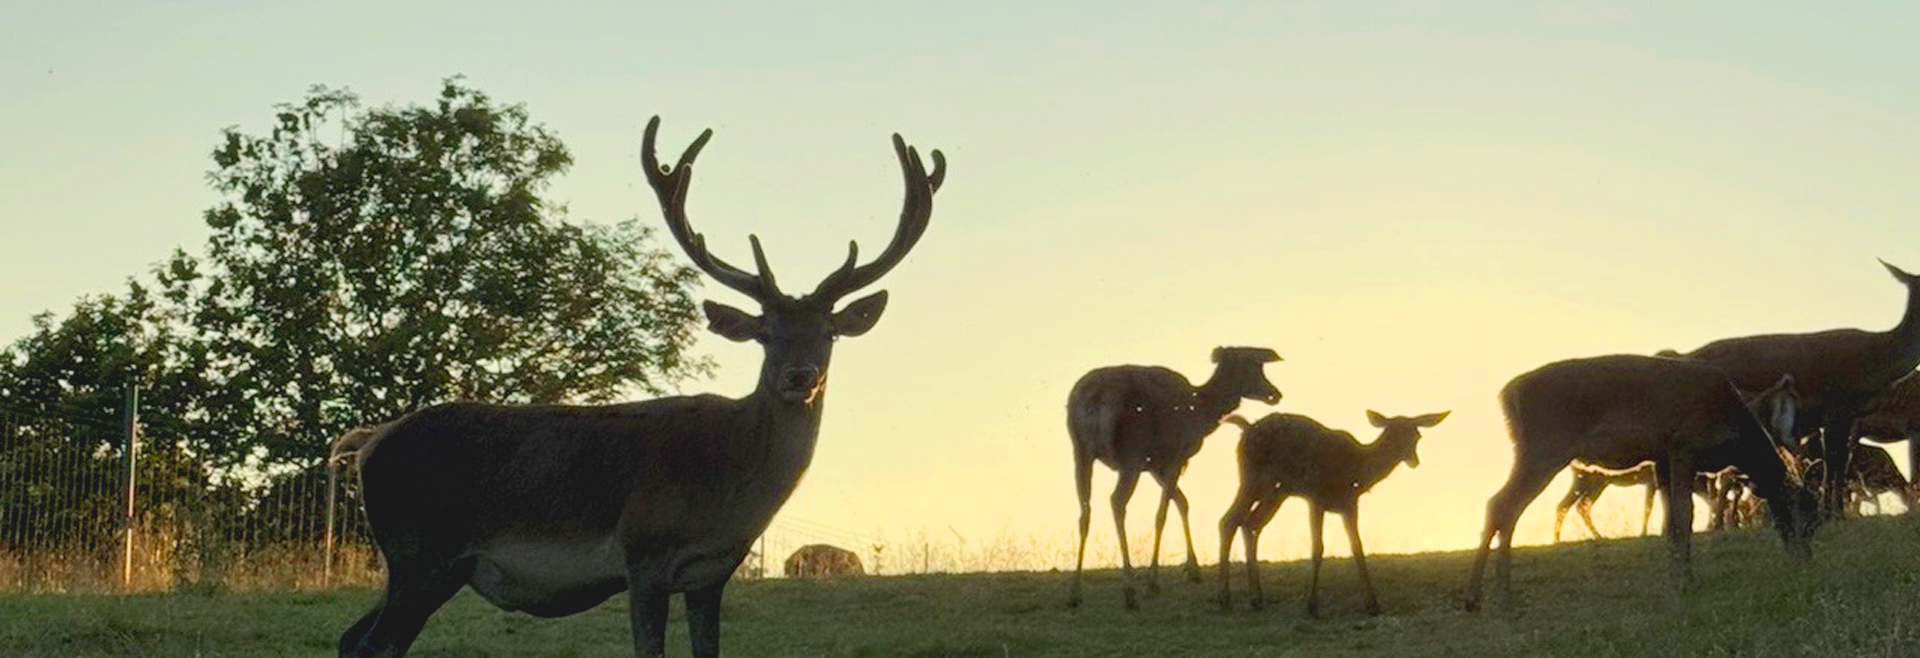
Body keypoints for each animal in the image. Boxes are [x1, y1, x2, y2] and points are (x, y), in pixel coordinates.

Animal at [331, 116, 945, 658]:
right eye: (765, 333)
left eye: (829, 333)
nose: (799, 377)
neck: (729, 494)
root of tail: (368, 443)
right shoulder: (643, 551)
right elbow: (648, 648)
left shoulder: (711, 572)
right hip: (420, 553)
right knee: (374, 644)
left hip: (419, 565)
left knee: (350, 638)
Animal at [1066, 347, 1282, 610]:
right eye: (1254, 366)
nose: (1275, 394)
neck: (1202, 414)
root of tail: (1094, 400)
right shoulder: (1174, 457)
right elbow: (1162, 513)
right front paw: (1153, 581)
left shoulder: (1156, 466)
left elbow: (1182, 502)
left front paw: (1194, 570)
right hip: (1130, 456)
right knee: (1116, 502)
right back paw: (1129, 591)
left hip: (1081, 453)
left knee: (1084, 512)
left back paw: (1075, 592)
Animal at [1215, 410, 1449, 616]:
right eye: (1391, 436)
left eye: (1416, 436)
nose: (1414, 460)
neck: (1357, 469)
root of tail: (1246, 428)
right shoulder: (1316, 498)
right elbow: (1318, 549)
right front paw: (1312, 606)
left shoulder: (1350, 504)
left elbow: (1358, 548)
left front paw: (1372, 605)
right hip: (1253, 478)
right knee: (1229, 520)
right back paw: (1225, 599)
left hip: (1277, 490)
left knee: (1250, 523)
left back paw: (1256, 599)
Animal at [1463, 355, 1819, 612]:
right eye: (1805, 518)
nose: (1805, 561)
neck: (1738, 439)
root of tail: (1508, 395)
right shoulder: (1682, 446)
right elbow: (1684, 517)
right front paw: (1685, 582)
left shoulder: (1661, 460)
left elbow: (1669, 521)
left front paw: (1675, 576)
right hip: (1546, 445)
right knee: (1503, 504)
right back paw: (1493, 596)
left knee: (1502, 506)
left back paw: (1483, 596)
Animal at [1676, 260, 1920, 517]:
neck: (1877, 365)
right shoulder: (1836, 408)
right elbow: (1833, 462)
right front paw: (1833, 512)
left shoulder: (1848, 417)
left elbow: (1838, 462)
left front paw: (1834, 511)